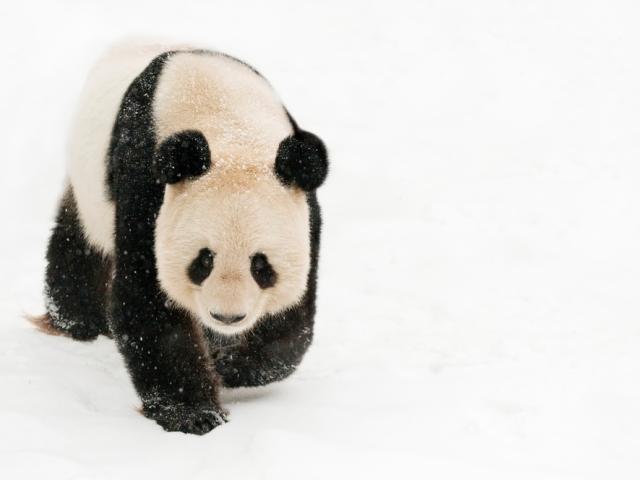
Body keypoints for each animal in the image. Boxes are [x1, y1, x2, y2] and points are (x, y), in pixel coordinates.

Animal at [36, 42, 328, 434]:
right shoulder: (147, 185)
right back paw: (79, 321)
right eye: (204, 260)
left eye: (261, 265)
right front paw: (194, 413)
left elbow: (291, 316)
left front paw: (231, 365)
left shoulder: (304, 208)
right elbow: (151, 301)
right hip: (88, 187)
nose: (227, 317)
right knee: (80, 244)